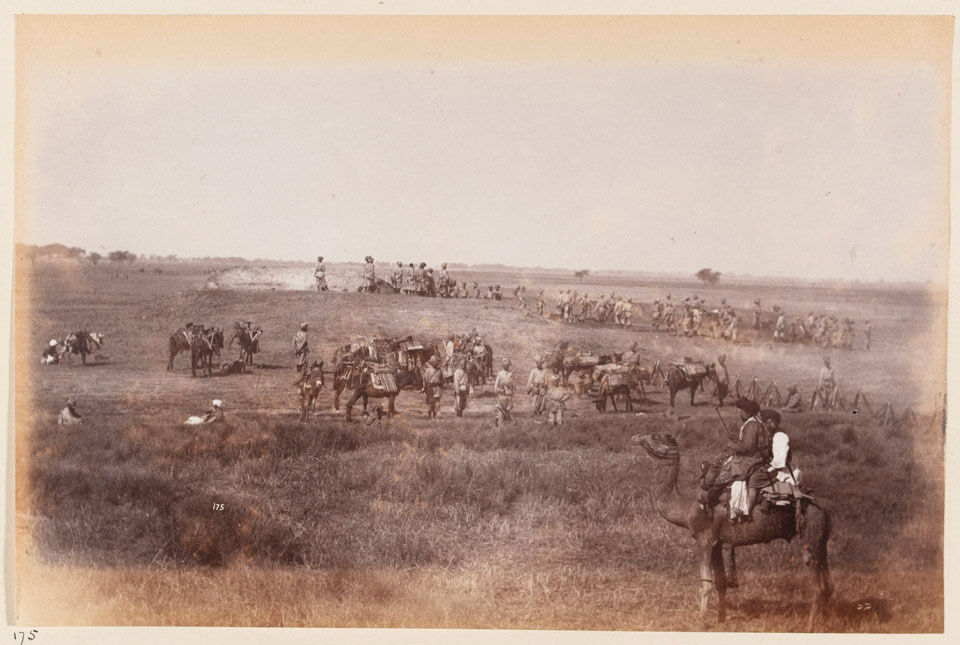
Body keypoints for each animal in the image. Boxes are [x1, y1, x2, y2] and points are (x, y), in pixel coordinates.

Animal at [632, 432, 832, 628]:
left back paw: (811, 626)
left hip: (809, 537)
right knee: (828, 585)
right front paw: (721, 620)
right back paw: (824, 623)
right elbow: (721, 582)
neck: (685, 506)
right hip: (821, 542)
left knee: (817, 586)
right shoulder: (717, 543)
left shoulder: (704, 538)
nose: (637, 437)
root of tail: (824, 509)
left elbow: (706, 583)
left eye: (655, 436)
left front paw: (701, 621)